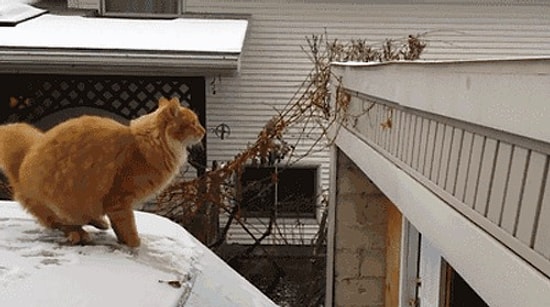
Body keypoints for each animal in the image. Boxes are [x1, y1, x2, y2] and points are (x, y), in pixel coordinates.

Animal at [10, 98, 205, 248]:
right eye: (193, 123)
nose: (203, 131)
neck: (148, 145)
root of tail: (20, 172)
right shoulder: (120, 201)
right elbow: (128, 227)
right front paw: (134, 243)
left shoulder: (117, 204)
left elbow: (120, 228)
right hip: (62, 203)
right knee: (60, 224)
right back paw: (80, 234)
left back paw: (99, 223)